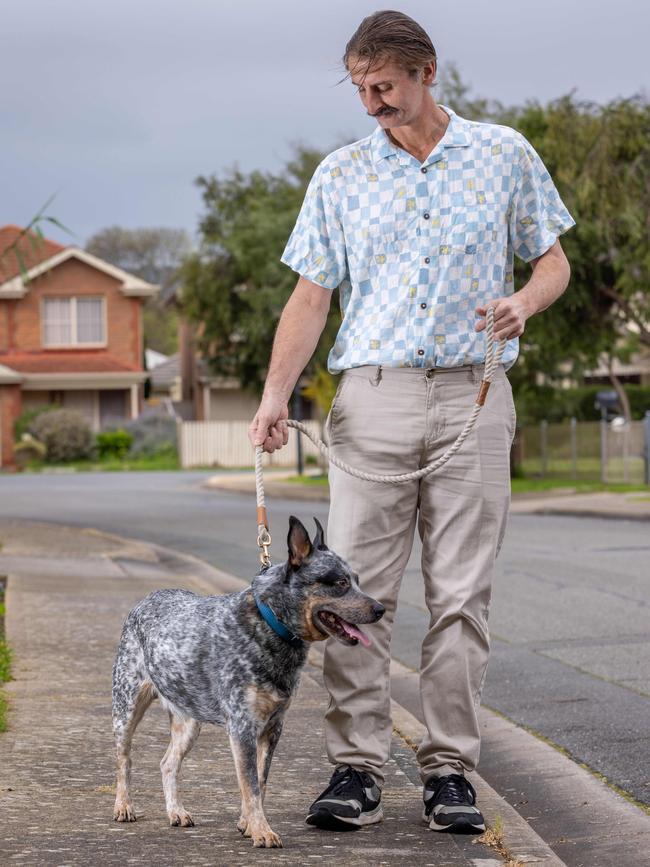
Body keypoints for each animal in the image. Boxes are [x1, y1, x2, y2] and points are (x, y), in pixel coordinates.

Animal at [109, 516, 382, 848]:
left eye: (357, 580)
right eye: (340, 583)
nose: (380, 609)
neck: (270, 625)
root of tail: (148, 597)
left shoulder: (273, 727)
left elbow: (260, 784)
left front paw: (248, 824)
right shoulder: (242, 726)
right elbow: (250, 784)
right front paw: (262, 831)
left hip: (188, 721)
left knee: (167, 763)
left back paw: (176, 812)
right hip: (126, 707)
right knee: (124, 760)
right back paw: (124, 806)